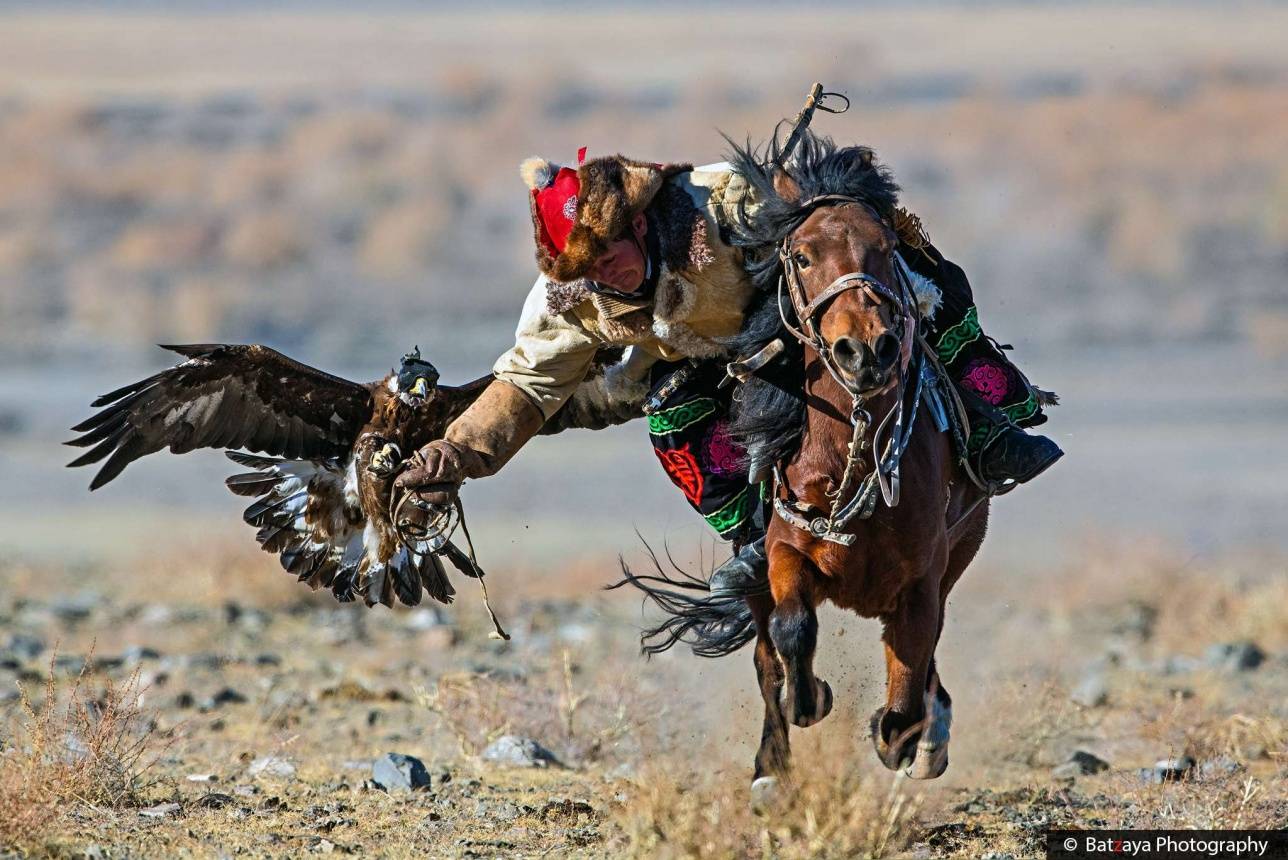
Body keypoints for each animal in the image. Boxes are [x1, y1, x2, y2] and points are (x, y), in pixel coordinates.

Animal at [618, 134, 989, 793]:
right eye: (802, 254)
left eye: (886, 247)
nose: (865, 349)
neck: (848, 454)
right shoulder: (785, 552)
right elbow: (792, 633)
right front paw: (810, 699)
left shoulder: (925, 577)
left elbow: (907, 684)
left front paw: (908, 738)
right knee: (767, 658)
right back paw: (771, 769)